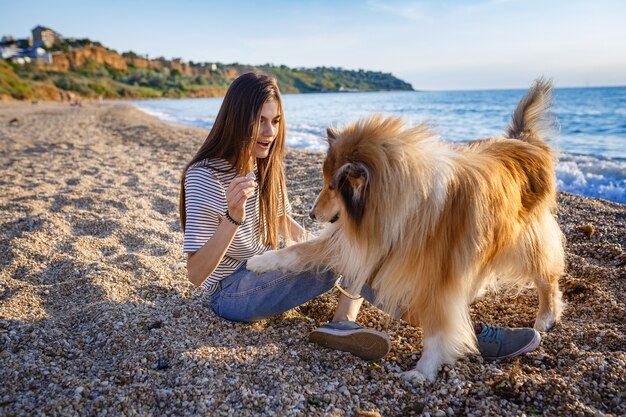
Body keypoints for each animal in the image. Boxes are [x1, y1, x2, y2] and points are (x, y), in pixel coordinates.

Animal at [246, 78, 564, 380]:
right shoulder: (366, 242)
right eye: (324, 183)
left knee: (547, 276)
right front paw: (259, 262)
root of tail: (524, 140)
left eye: (332, 187)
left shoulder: (437, 276)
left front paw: (423, 371)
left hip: (525, 240)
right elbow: (301, 250)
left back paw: (545, 317)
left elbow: (437, 330)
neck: (404, 204)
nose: (311, 213)